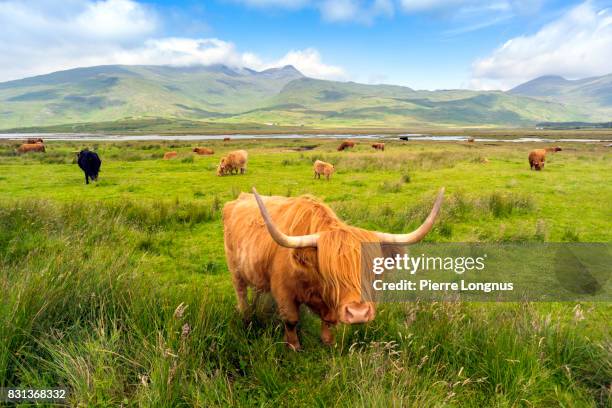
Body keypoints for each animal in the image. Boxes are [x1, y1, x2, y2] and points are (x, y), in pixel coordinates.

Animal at [222, 186, 442, 350]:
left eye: (373, 270)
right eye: (330, 273)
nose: (359, 313)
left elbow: (328, 321)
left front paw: (329, 344)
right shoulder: (283, 291)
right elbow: (291, 320)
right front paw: (294, 347)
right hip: (234, 269)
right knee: (240, 292)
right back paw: (246, 316)